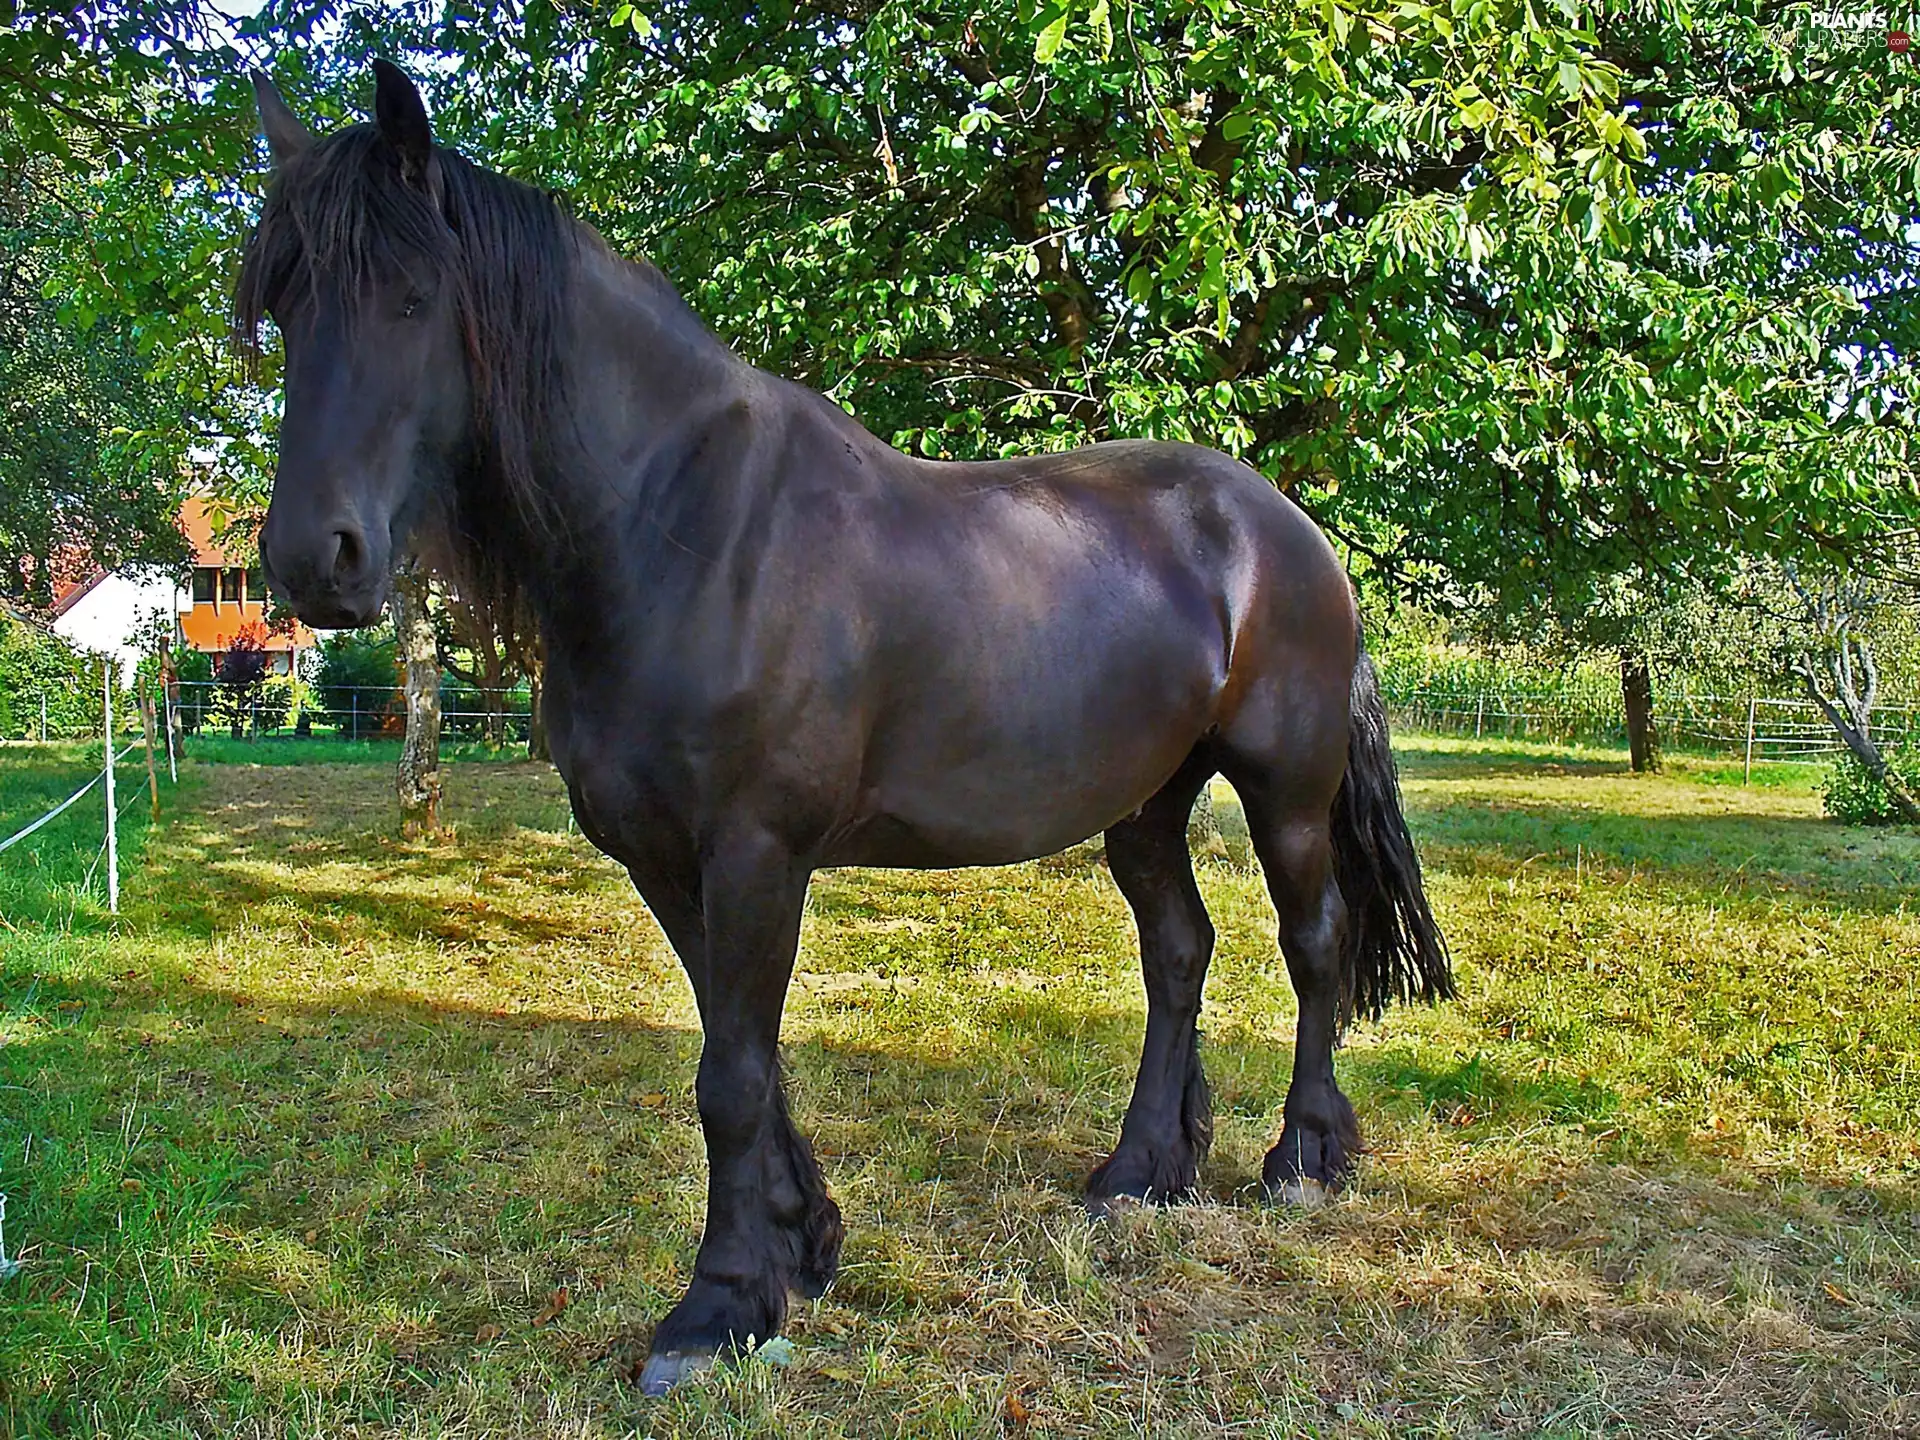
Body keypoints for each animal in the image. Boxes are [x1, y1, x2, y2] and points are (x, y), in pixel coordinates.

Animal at [239, 62, 1453, 1394]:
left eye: (411, 298)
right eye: (286, 308)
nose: (314, 559)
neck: (685, 531)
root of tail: (1286, 527)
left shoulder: (756, 853)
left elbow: (730, 1076)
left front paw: (716, 1309)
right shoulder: (667, 859)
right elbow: (744, 1058)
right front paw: (799, 1246)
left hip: (1286, 787)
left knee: (1314, 941)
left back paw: (1303, 1161)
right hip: (1145, 803)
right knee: (1178, 952)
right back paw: (1142, 1171)